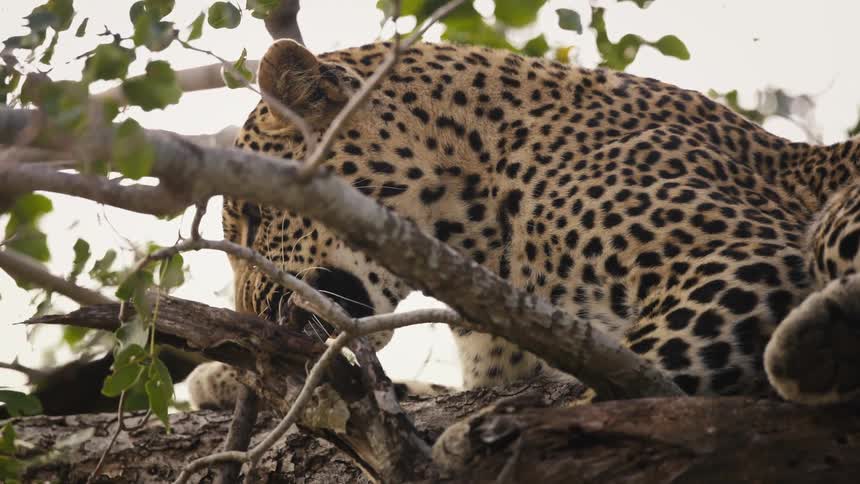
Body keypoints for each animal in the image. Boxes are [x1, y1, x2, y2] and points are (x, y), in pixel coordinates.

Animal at [188, 38, 860, 410]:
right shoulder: (508, 368)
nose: (251, 319)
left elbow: (609, 393)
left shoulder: (738, 261)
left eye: (254, 218)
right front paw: (218, 377)